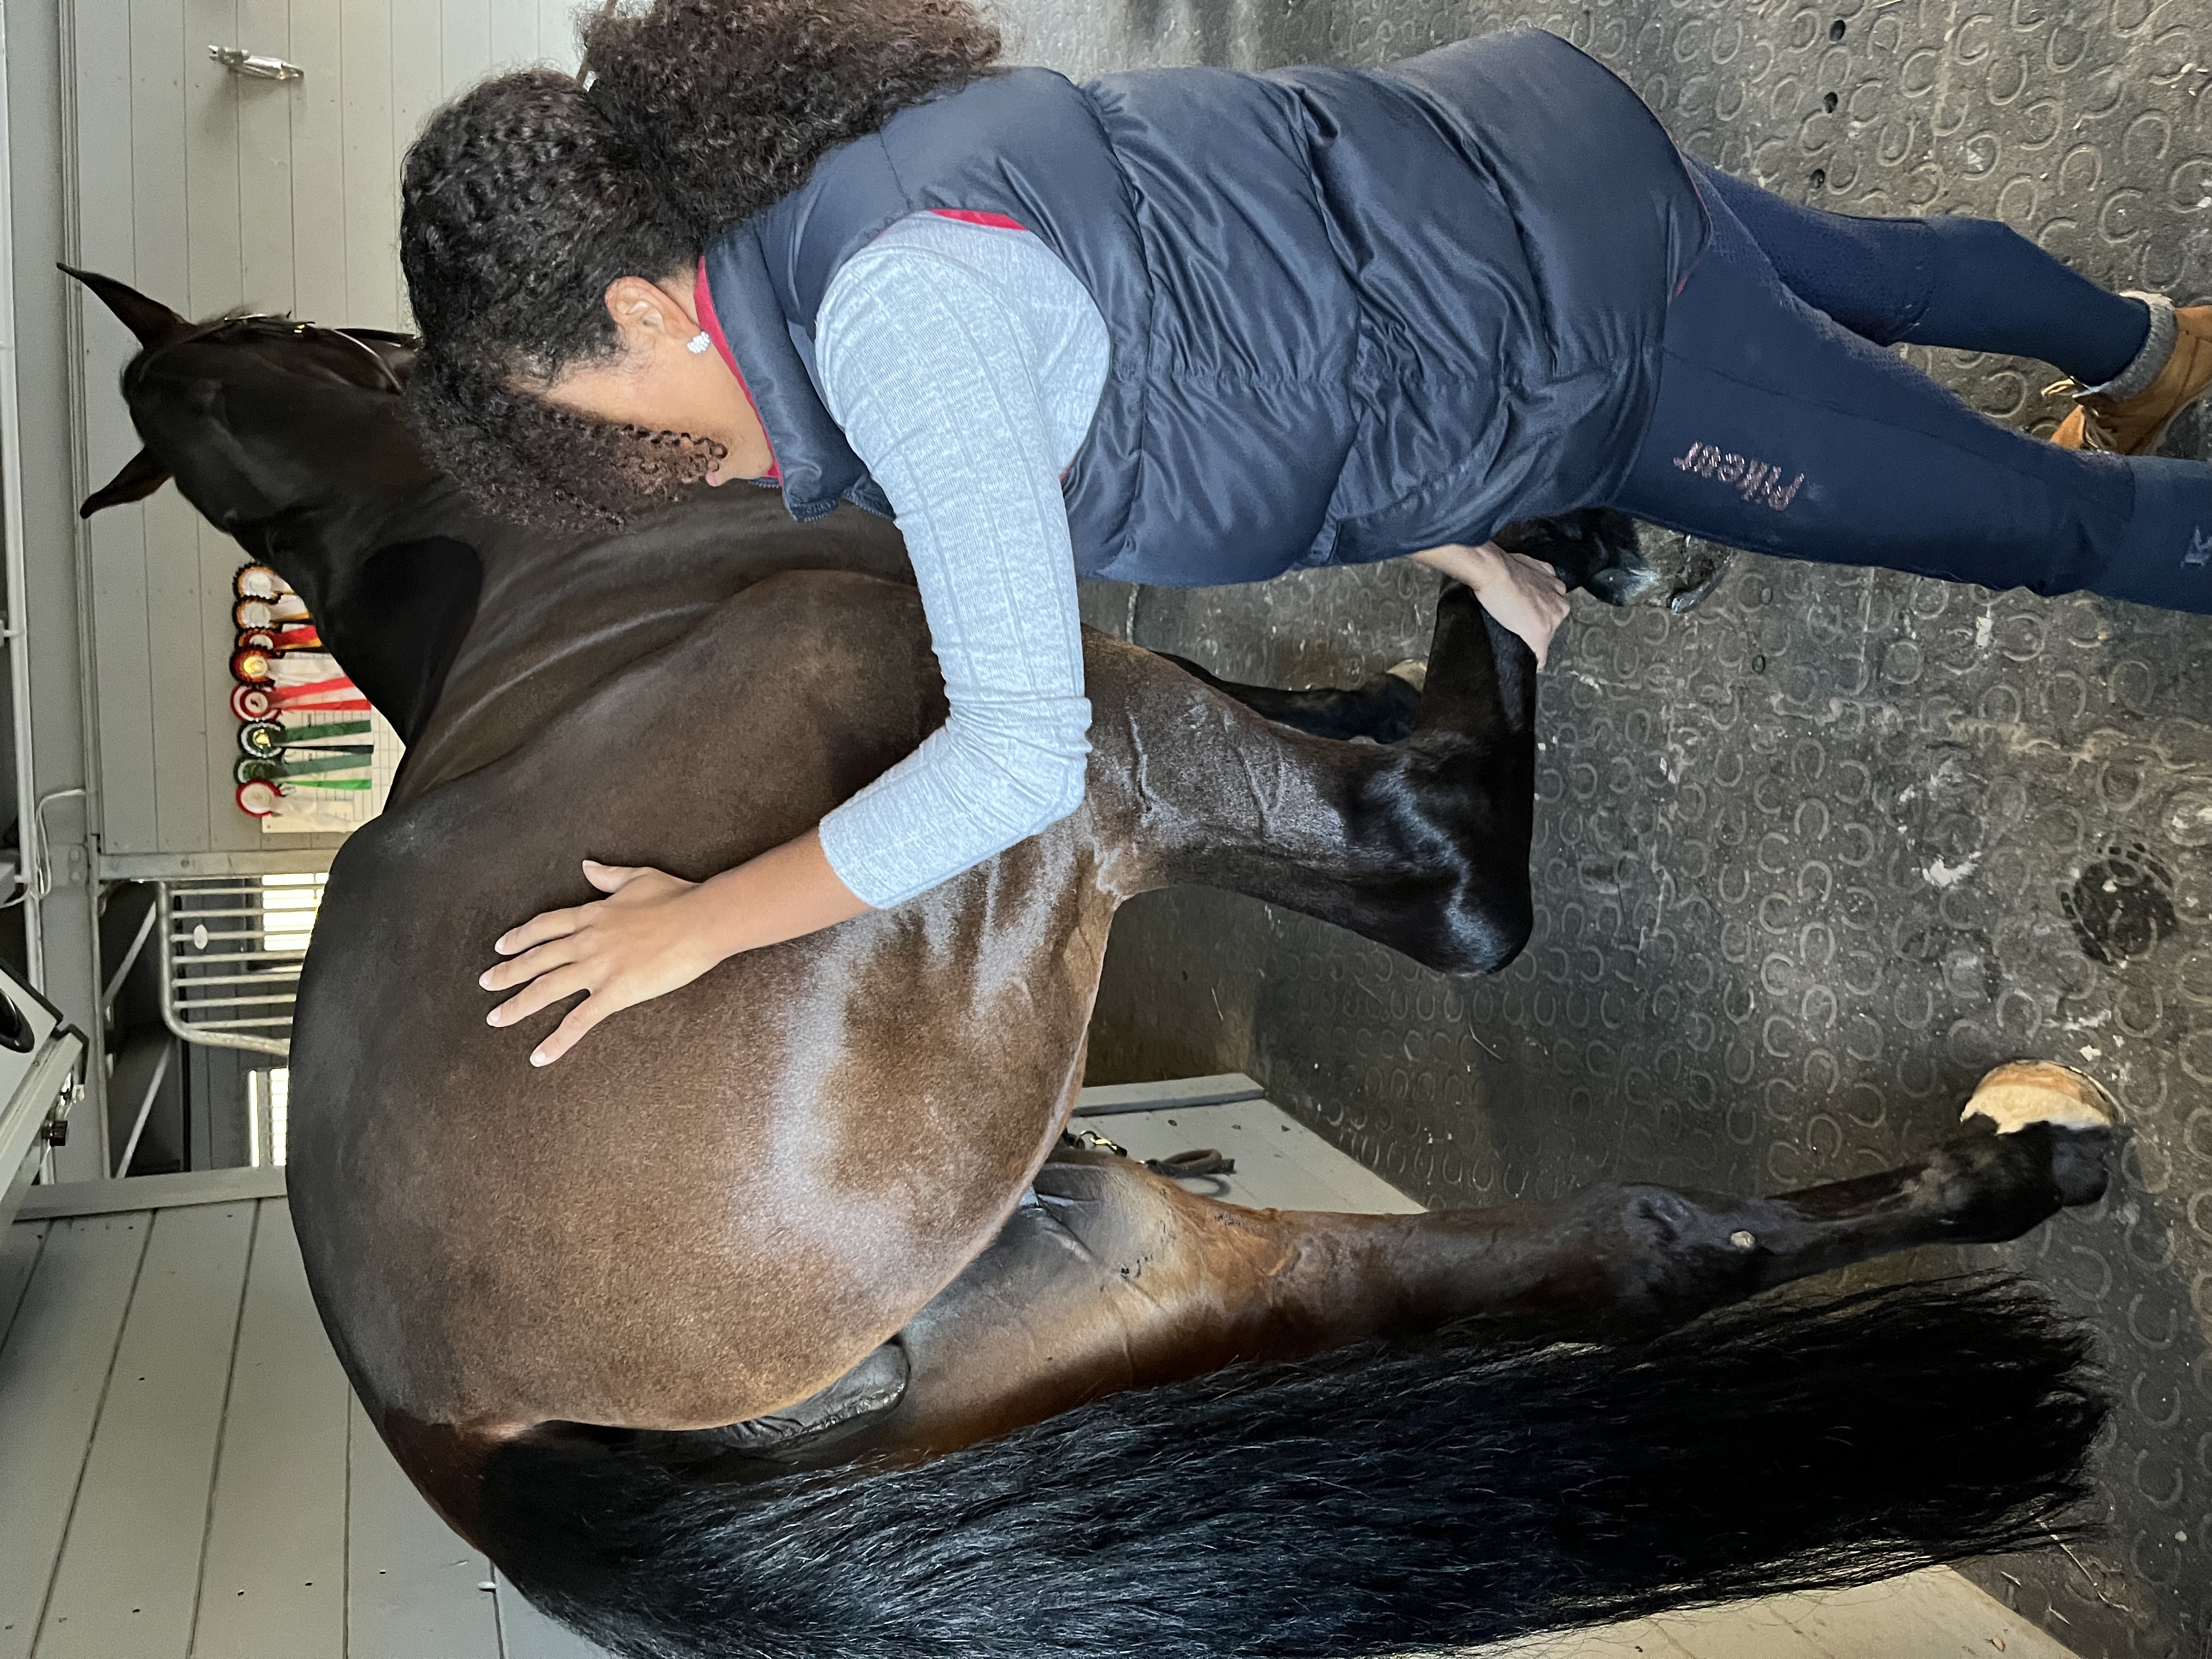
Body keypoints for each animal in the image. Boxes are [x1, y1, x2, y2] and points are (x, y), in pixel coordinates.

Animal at [72, 265, 2117, 1659]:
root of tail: (460, 1431)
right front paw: (1557, 522)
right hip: (1069, 777)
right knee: (1463, 886)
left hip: (1132, 1260)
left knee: (1606, 1248)